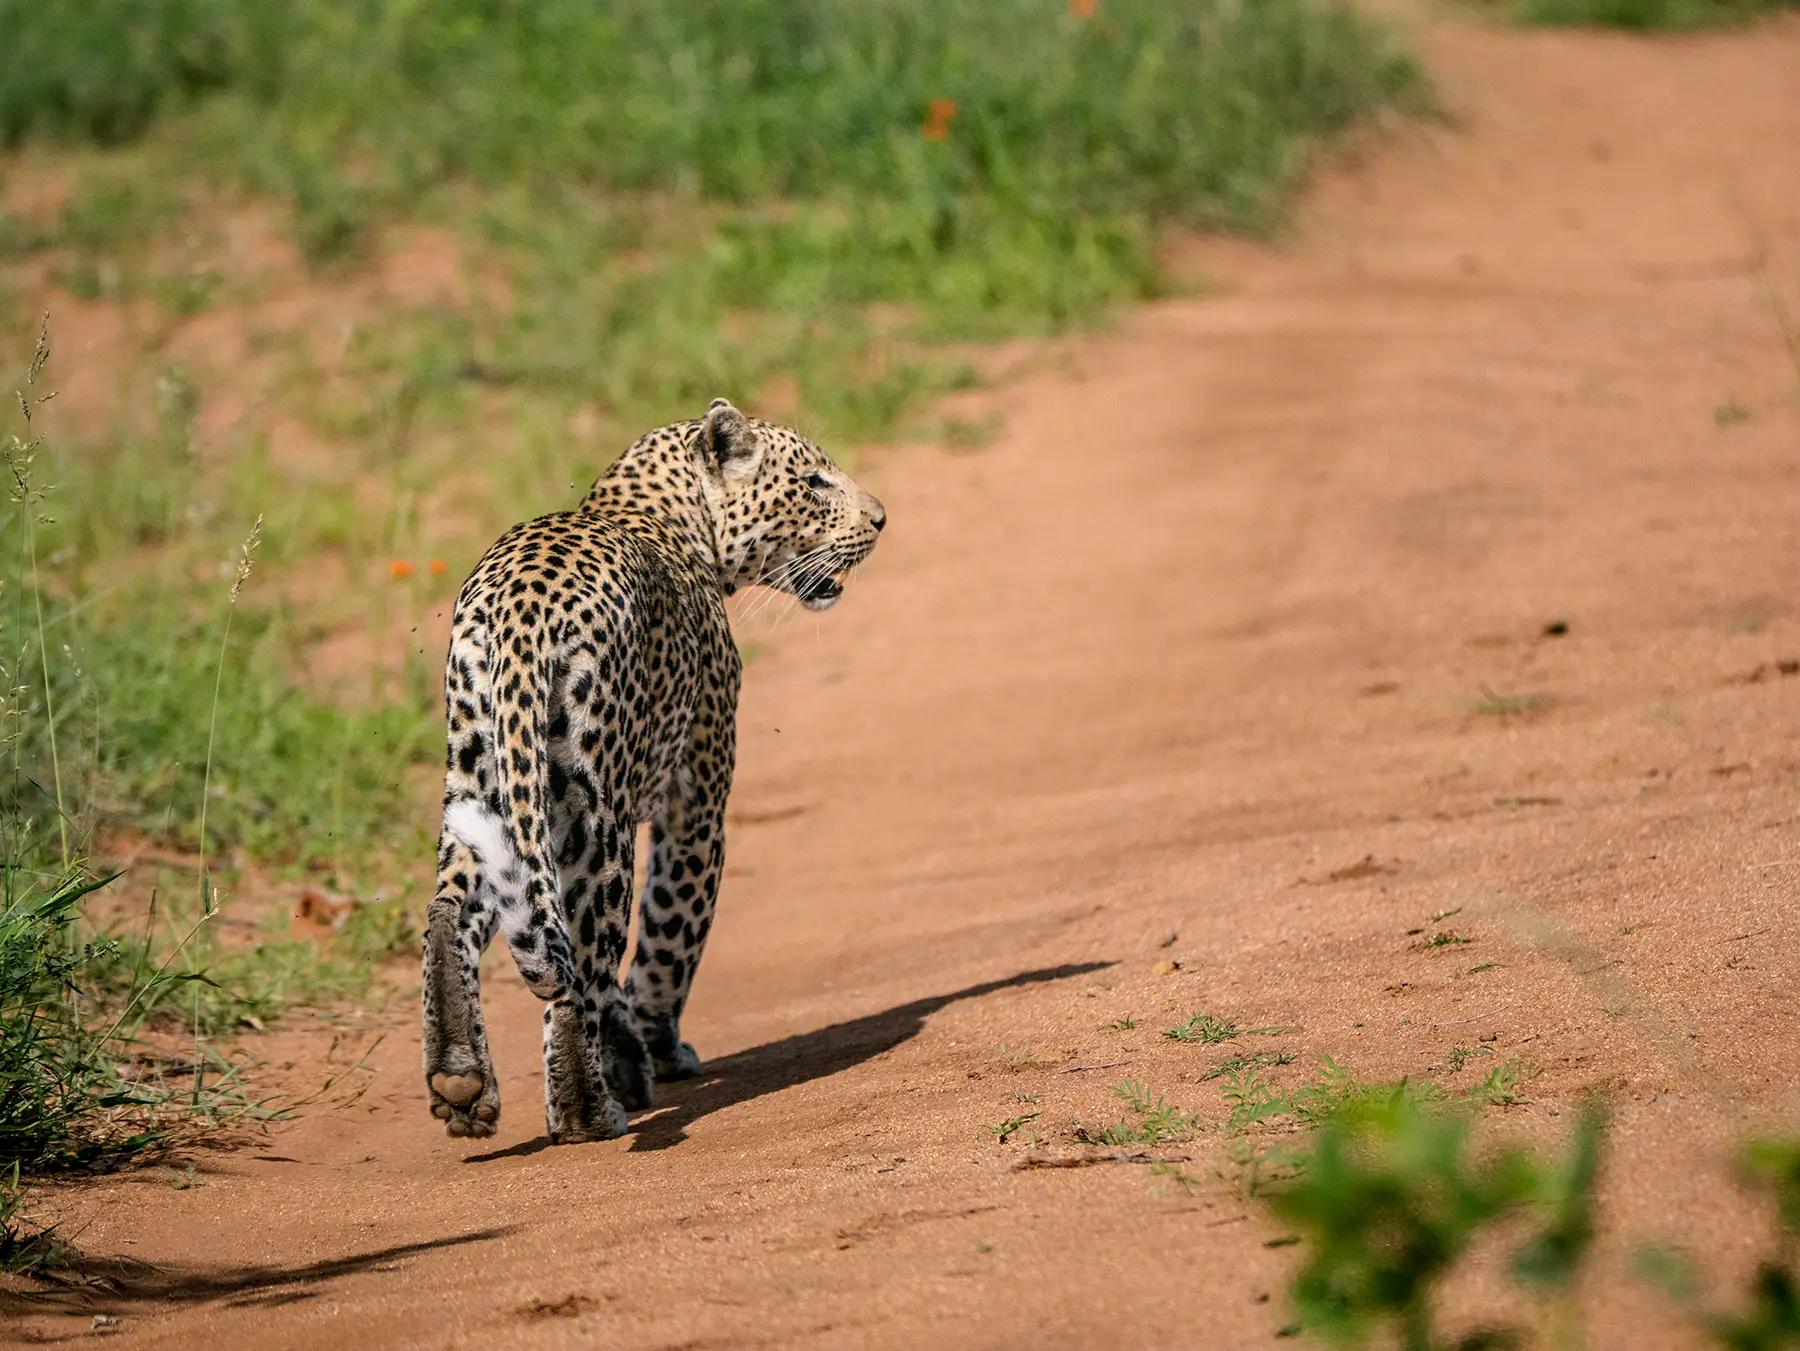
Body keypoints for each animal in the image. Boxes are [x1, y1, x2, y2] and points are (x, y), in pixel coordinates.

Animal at [419, 398, 885, 1143]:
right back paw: (587, 1112)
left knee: (451, 910)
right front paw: (659, 1052)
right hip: (594, 815)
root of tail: (520, 611)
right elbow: (672, 934)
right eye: (813, 481)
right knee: (583, 958)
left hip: (480, 780)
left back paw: (461, 1078)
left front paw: (628, 1058)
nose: (881, 518)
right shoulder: (696, 799)